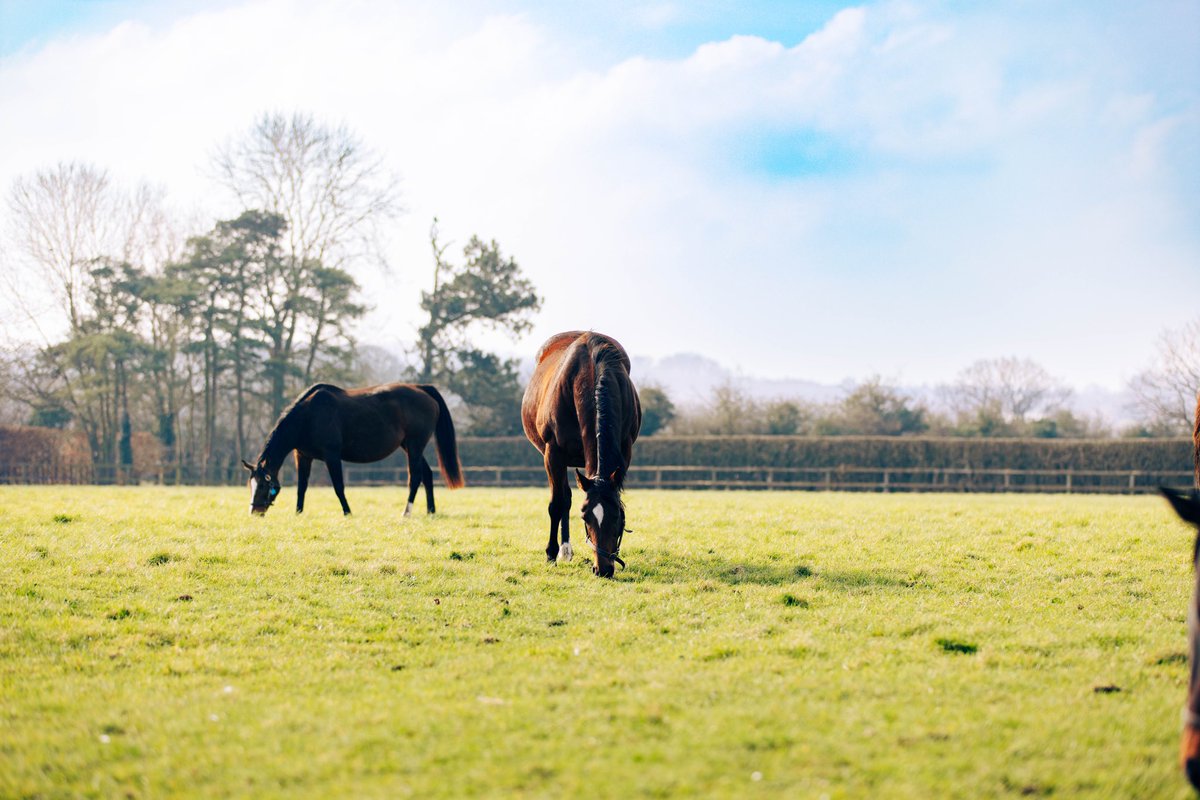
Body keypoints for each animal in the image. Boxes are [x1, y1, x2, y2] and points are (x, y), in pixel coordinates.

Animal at [241, 383, 460, 520]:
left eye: (263, 485)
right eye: (251, 485)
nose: (256, 512)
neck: (307, 417)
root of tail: (422, 389)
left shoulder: (332, 456)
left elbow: (339, 487)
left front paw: (347, 512)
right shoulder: (302, 456)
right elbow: (301, 487)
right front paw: (298, 512)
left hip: (415, 445)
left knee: (415, 477)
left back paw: (406, 512)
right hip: (410, 446)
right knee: (427, 474)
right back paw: (431, 511)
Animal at [520, 328, 643, 578]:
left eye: (617, 516)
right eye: (585, 516)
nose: (603, 569)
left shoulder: (625, 450)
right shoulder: (553, 453)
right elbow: (557, 503)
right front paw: (551, 553)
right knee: (564, 498)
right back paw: (563, 550)